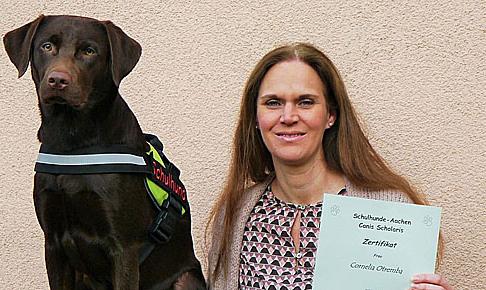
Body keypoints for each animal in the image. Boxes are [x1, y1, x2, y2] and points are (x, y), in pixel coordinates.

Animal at [4, 15, 205, 290]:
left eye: (89, 51)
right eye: (47, 46)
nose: (58, 80)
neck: (73, 144)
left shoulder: (123, 248)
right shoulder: (53, 244)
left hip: (186, 279)